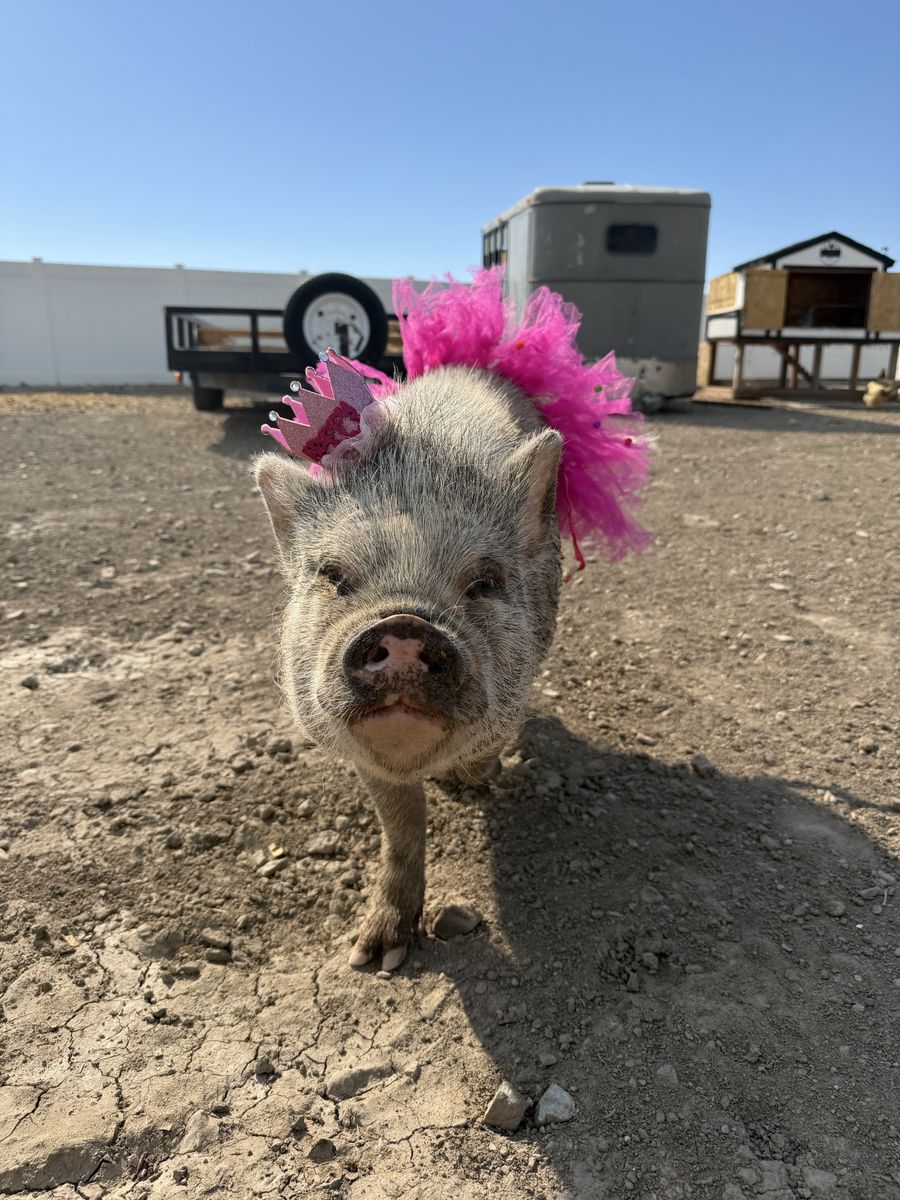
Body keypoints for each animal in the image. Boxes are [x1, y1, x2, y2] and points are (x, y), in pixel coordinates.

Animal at [254, 365, 562, 970]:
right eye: (333, 575)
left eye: (485, 581)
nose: (403, 625)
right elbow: (400, 827)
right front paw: (375, 958)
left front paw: (470, 784)